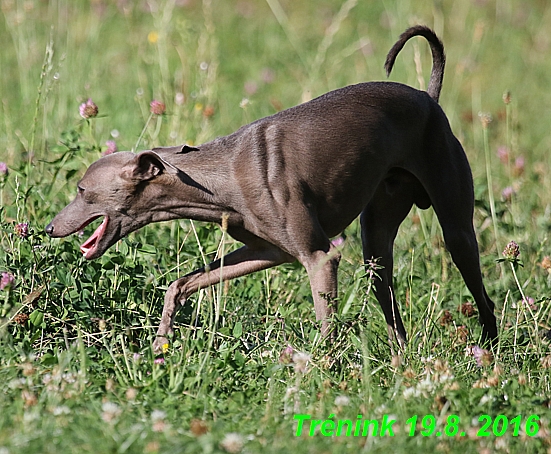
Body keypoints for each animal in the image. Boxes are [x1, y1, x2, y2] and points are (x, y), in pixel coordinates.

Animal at [45, 24, 498, 352]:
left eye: (82, 190)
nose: (48, 228)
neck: (219, 178)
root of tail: (427, 97)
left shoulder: (319, 258)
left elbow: (327, 326)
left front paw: (323, 373)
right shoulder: (268, 252)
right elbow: (181, 283)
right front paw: (160, 346)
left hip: (456, 225)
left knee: (482, 293)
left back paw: (489, 355)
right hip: (377, 240)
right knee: (390, 305)